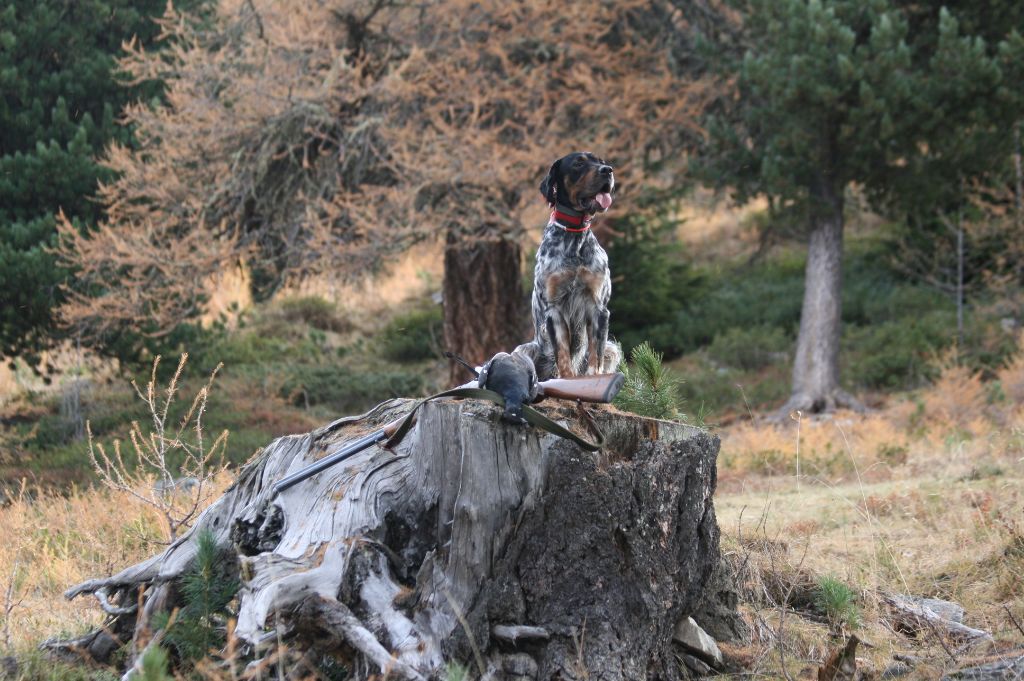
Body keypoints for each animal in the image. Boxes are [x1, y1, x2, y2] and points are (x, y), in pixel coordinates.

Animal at [514, 151, 621, 380]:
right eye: (578, 164)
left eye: (601, 162)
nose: (608, 170)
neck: (574, 237)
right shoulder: (554, 309)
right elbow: (563, 357)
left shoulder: (598, 307)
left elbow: (594, 357)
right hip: (526, 349)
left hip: (612, 348)